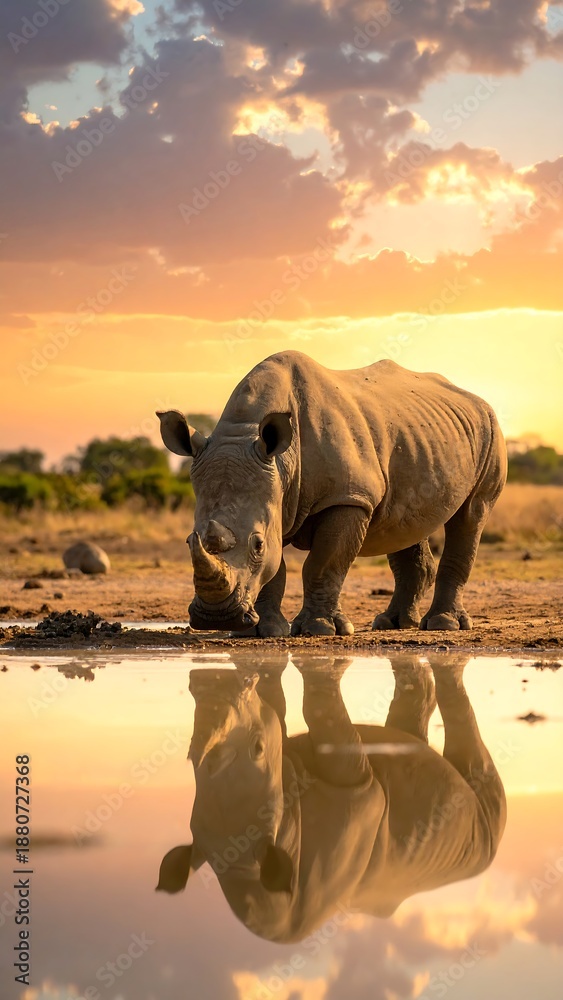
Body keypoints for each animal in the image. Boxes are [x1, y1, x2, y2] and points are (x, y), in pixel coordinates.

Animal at [157, 351, 506, 635]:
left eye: (257, 545)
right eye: (189, 540)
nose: (216, 618)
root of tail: (478, 400)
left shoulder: (348, 497)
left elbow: (322, 564)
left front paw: (319, 630)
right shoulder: (275, 499)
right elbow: (276, 568)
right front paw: (263, 631)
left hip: (490, 430)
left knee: (471, 514)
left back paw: (443, 625)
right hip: (418, 437)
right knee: (406, 523)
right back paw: (391, 624)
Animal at [157, 655, 506, 941]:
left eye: (258, 747)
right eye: (189, 755)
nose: (207, 680)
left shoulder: (358, 786)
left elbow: (311, 710)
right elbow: (276, 706)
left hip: (483, 847)